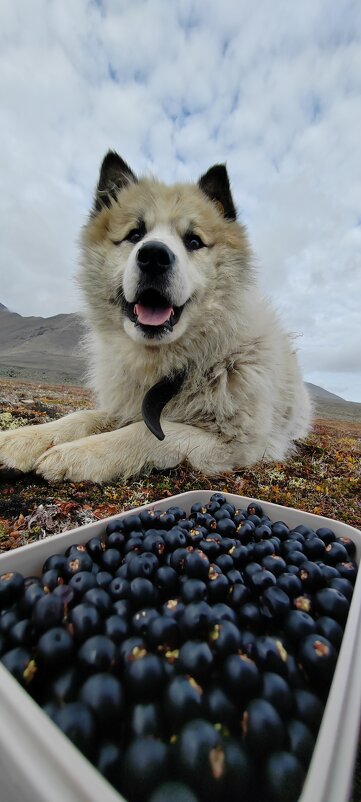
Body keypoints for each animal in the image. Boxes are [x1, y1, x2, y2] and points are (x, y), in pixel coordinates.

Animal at [0, 152, 310, 482]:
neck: (167, 364)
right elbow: (81, 416)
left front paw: (80, 453)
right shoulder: (122, 405)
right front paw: (22, 439)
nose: (153, 256)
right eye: (135, 234)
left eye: (194, 241)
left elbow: (148, 432)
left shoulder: (236, 444)